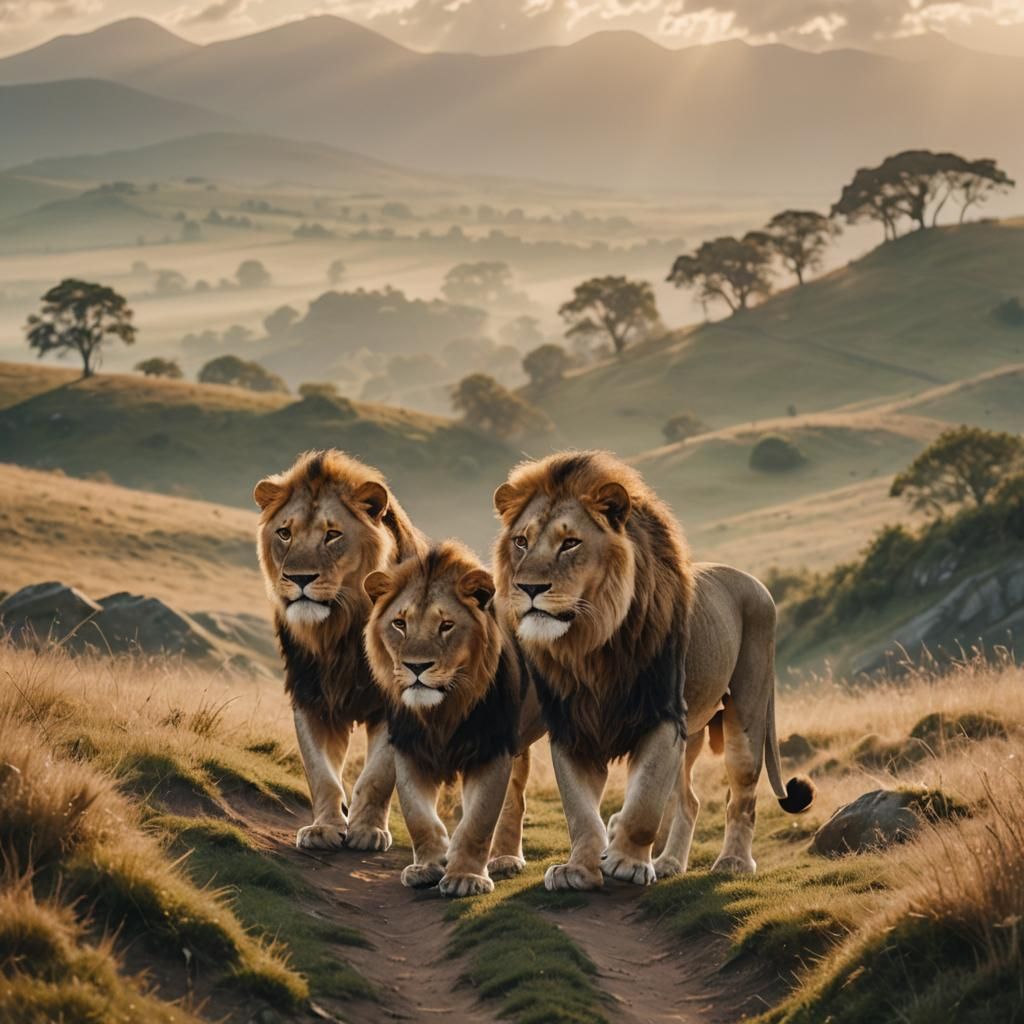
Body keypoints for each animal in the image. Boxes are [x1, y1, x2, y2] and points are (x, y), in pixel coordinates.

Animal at [254, 449, 426, 852]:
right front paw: (325, 828)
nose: (299, 579)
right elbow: (321, 773)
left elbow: (377, 775)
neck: (338, 632)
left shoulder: (394, 703)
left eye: (332, 535)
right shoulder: (311, 697)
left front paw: (366, 831)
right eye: (284, 533)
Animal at [364, 541, 545, 897]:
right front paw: (428, 867)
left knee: (514, 801)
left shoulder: (493, 750)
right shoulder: (408, 748)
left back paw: (505, 859)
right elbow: (418, 816)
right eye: (400, 624)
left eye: (446, 625)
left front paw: (465, 878)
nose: (416, 667)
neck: (441, 712)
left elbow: (478, 820)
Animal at [492, 450, 813, 892]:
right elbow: (580, 812)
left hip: (746, 712)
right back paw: (669, 863)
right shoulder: (573, 727)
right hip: (690, 733)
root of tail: (755, 582)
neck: (592, 645)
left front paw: (626, 862)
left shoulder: (663, 717)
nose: (528, 588)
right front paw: (579, 869)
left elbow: (644, 804)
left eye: (570, 543)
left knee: (742, 795)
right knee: (689, 801)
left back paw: (732, 863)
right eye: (521, 541)